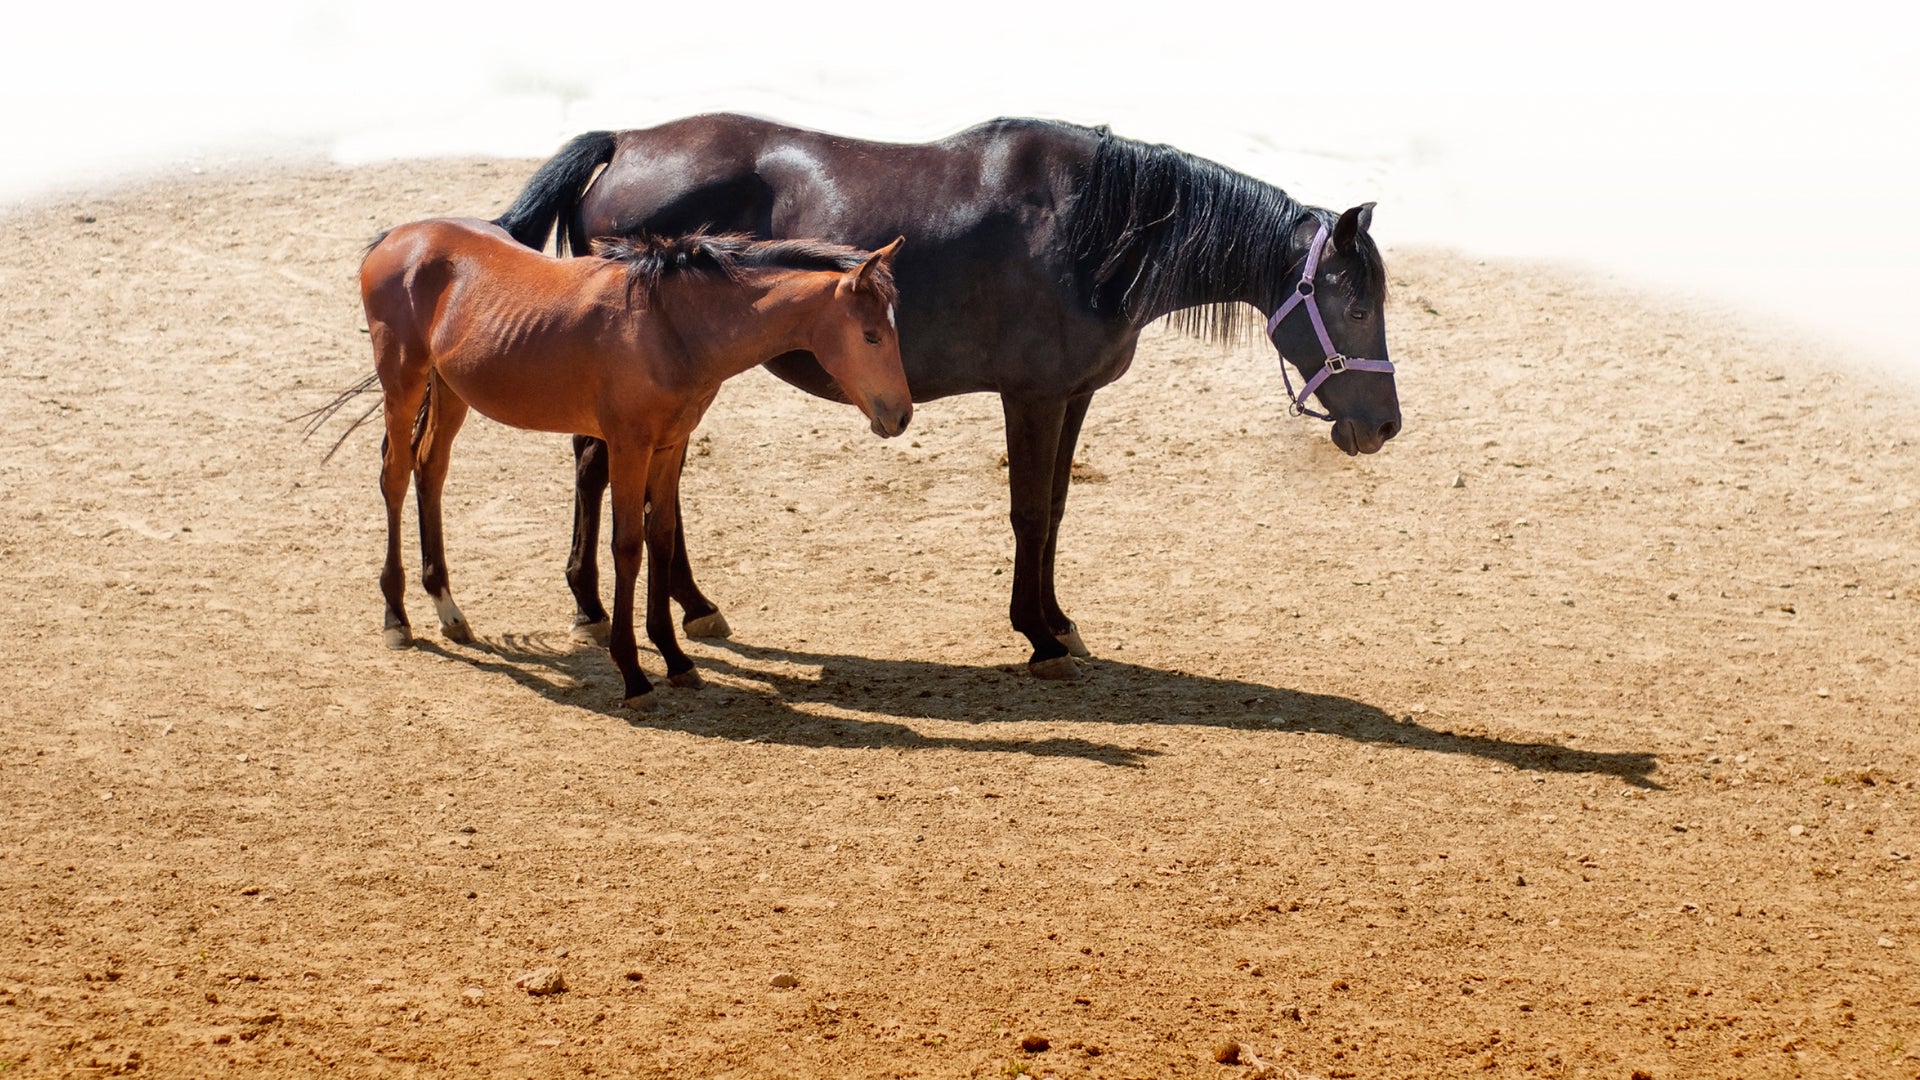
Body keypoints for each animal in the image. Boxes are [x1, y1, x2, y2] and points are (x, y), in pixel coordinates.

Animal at [491, 113, 1397, 676]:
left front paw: (1059, 619)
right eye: (1356, 305)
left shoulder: (1073, 396)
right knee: (608, 468)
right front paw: (1037, 635)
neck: (1093, 231)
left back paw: (674, 606)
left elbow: (1056, 508)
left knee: (628, 476)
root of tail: (627, 142)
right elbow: (1028, 511)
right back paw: (616, 605)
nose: (1384, 425)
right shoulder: (1032, 397)